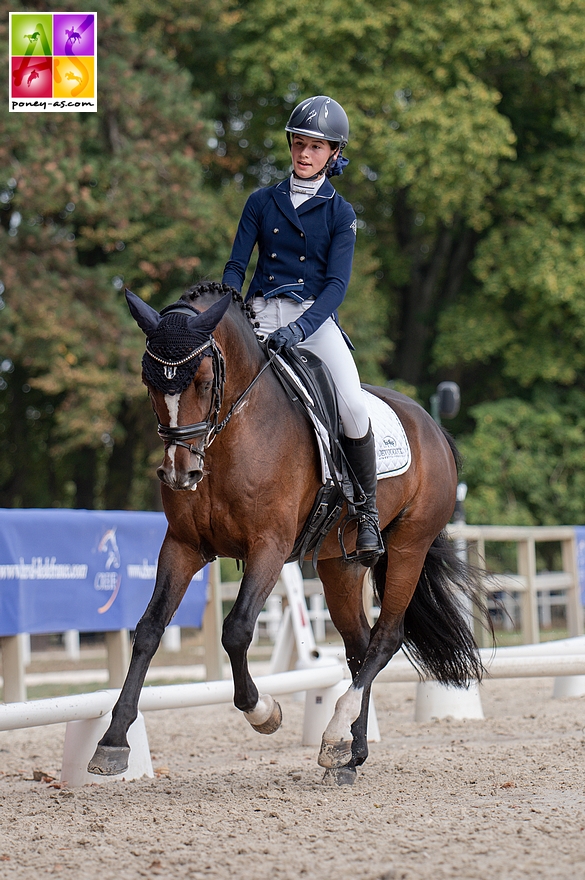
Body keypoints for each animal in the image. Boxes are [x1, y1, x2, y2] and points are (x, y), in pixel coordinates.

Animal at [85, 280, 480, 784]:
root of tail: (433, 427)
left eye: (204, 381)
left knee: (387, 637)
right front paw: (113, 742)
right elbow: (150, 629)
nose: (179, 473)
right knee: (359, 644)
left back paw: (336, 733)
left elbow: (236, 631)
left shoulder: (268, 547)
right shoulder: (183, 546)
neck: (230, 433)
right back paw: (349, 752)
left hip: (409, 547)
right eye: (148, 381)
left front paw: (264, 711)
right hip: (340, 565)